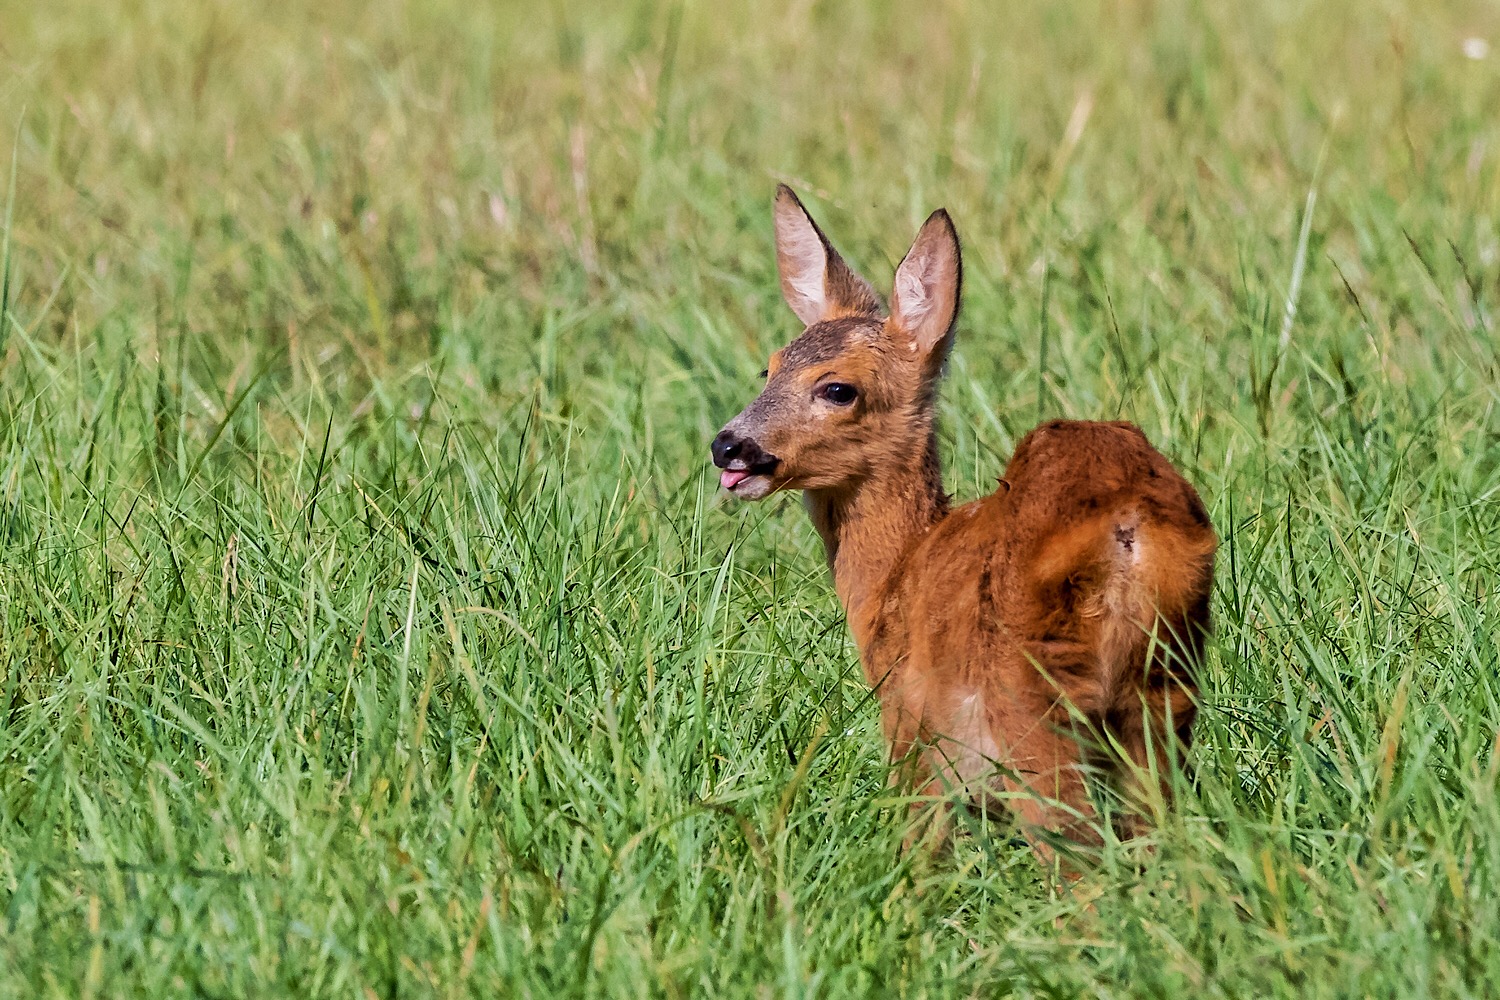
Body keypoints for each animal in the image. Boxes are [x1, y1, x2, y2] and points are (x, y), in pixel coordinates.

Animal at [708, 189, 1212, 869]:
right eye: (770, 368)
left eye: (838, 388)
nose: (729, 447)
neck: (898, 572)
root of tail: (1127, 524)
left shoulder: (910, 724)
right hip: (1164, 691)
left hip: (1032, 701)